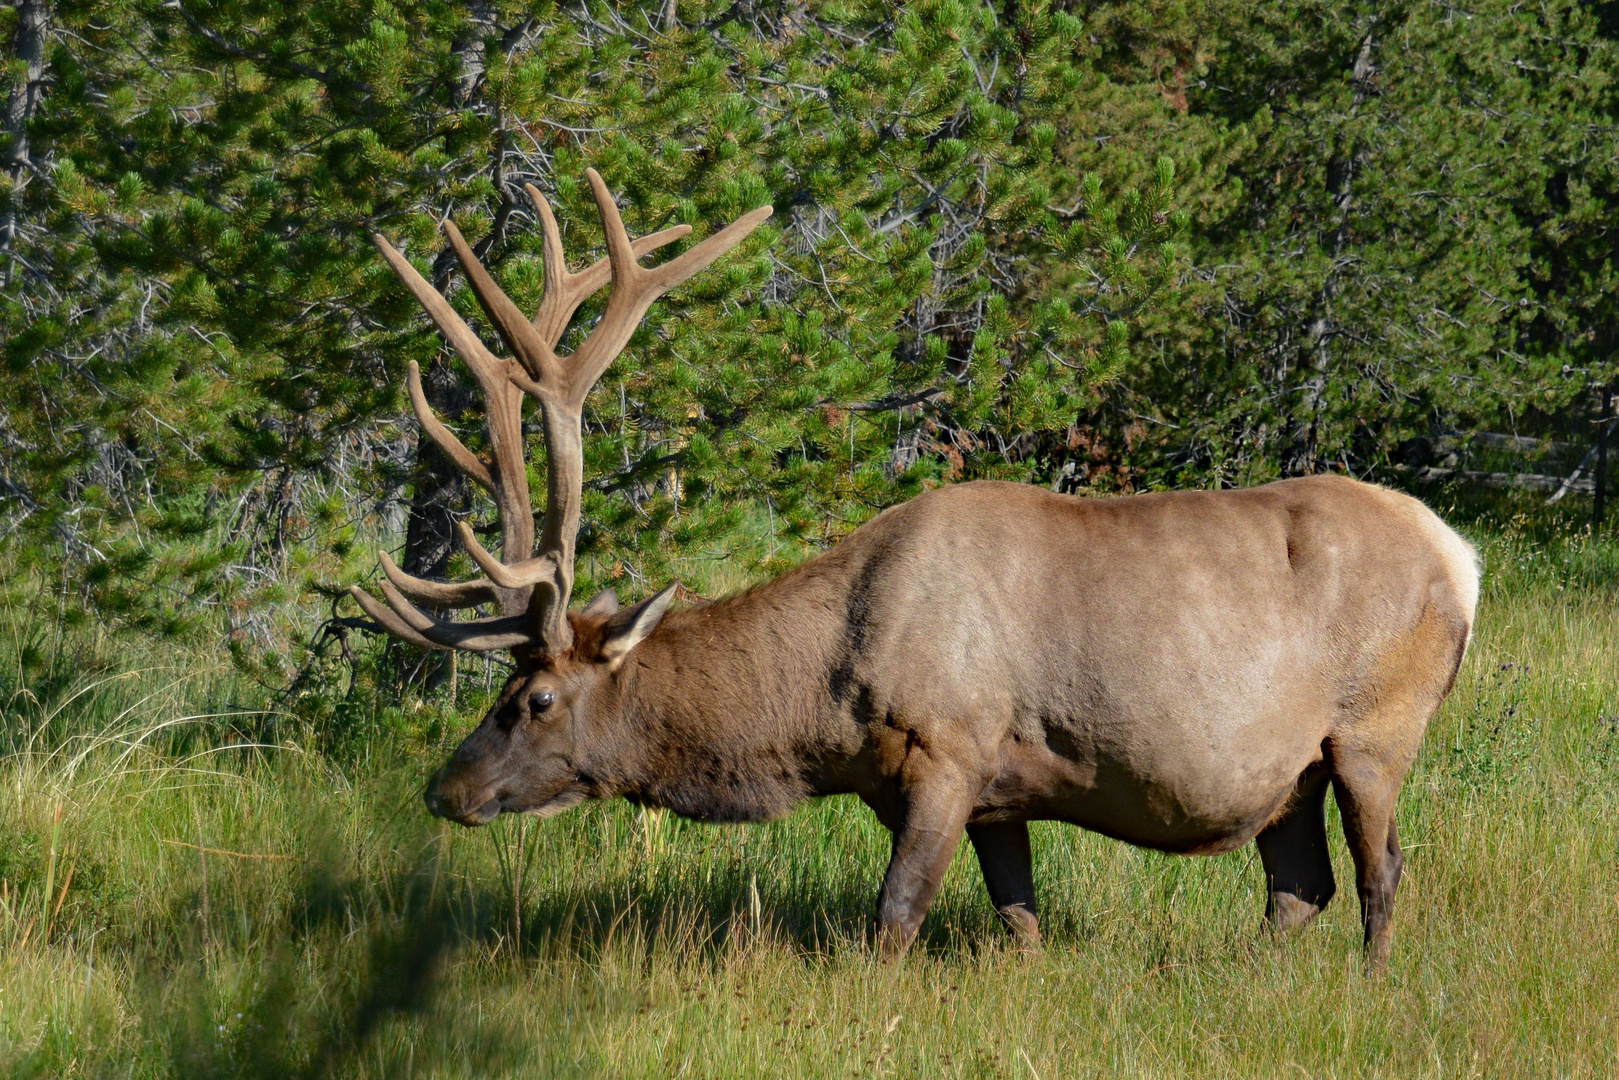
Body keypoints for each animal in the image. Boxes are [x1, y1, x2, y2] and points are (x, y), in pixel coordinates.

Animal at [361, 173, 1483, 965]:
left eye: (537, 699)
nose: (445, 788)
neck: (818, 709)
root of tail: (1461, 555)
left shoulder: (948, 748)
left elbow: (892, 918)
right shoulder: (997, 796)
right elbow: (1018, 922)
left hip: (1375, 728)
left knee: (1382, 871)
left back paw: (1368, 984)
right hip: (1285, 772)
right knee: (1297, 886)